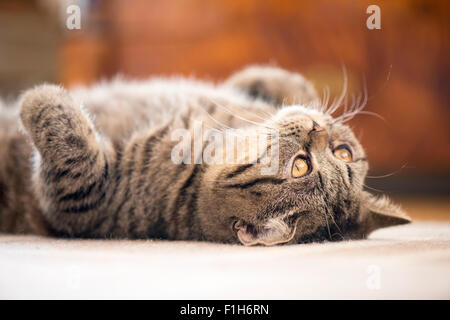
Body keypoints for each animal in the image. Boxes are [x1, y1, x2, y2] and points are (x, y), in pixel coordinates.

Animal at [0, 65, 410, 245]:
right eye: (344, 153)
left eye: (300, 167)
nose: (317, 128)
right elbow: (293, 85)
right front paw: (262, 80)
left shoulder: (81, 197)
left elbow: (69, 139)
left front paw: (38, 97)